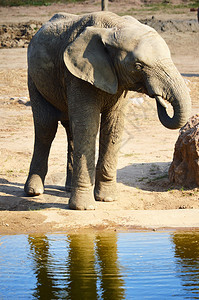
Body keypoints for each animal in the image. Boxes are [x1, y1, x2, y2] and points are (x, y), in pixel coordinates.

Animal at [24, 11, 191, 209]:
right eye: (138, 66)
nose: (161, 101)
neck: (114, 26)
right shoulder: (78, 75)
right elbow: (88, 126)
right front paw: (84, 208)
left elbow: (114, 126)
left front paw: (108, 199)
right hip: (34, 79)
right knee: (46, 128)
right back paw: (34, 192)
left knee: (70, 128)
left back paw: (67, 189)